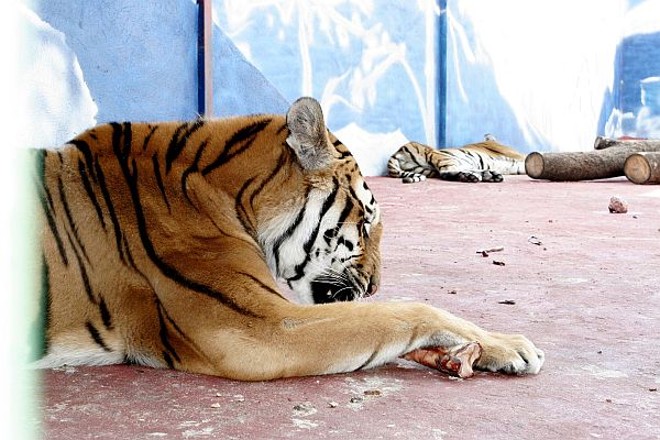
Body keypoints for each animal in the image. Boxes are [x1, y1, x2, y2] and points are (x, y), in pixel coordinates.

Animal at [388, 135, 527, 183]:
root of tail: (396, 153)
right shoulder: (519, 158)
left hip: (428, 170)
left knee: (445, 173)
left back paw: (485, 175)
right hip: (437, 155)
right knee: (446, 171)